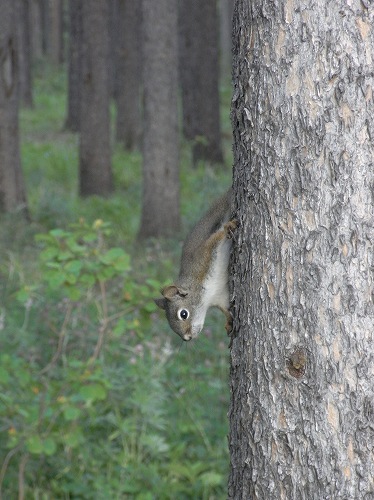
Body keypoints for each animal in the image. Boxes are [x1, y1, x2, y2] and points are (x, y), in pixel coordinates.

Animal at [153, 189, 235, 342]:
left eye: (183, 314)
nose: (187, 338)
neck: (208, 295)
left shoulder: (201, 261)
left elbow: (214, 240)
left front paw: (228, 228)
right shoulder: (220, 297)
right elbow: (226, 309)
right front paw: (229, 322)